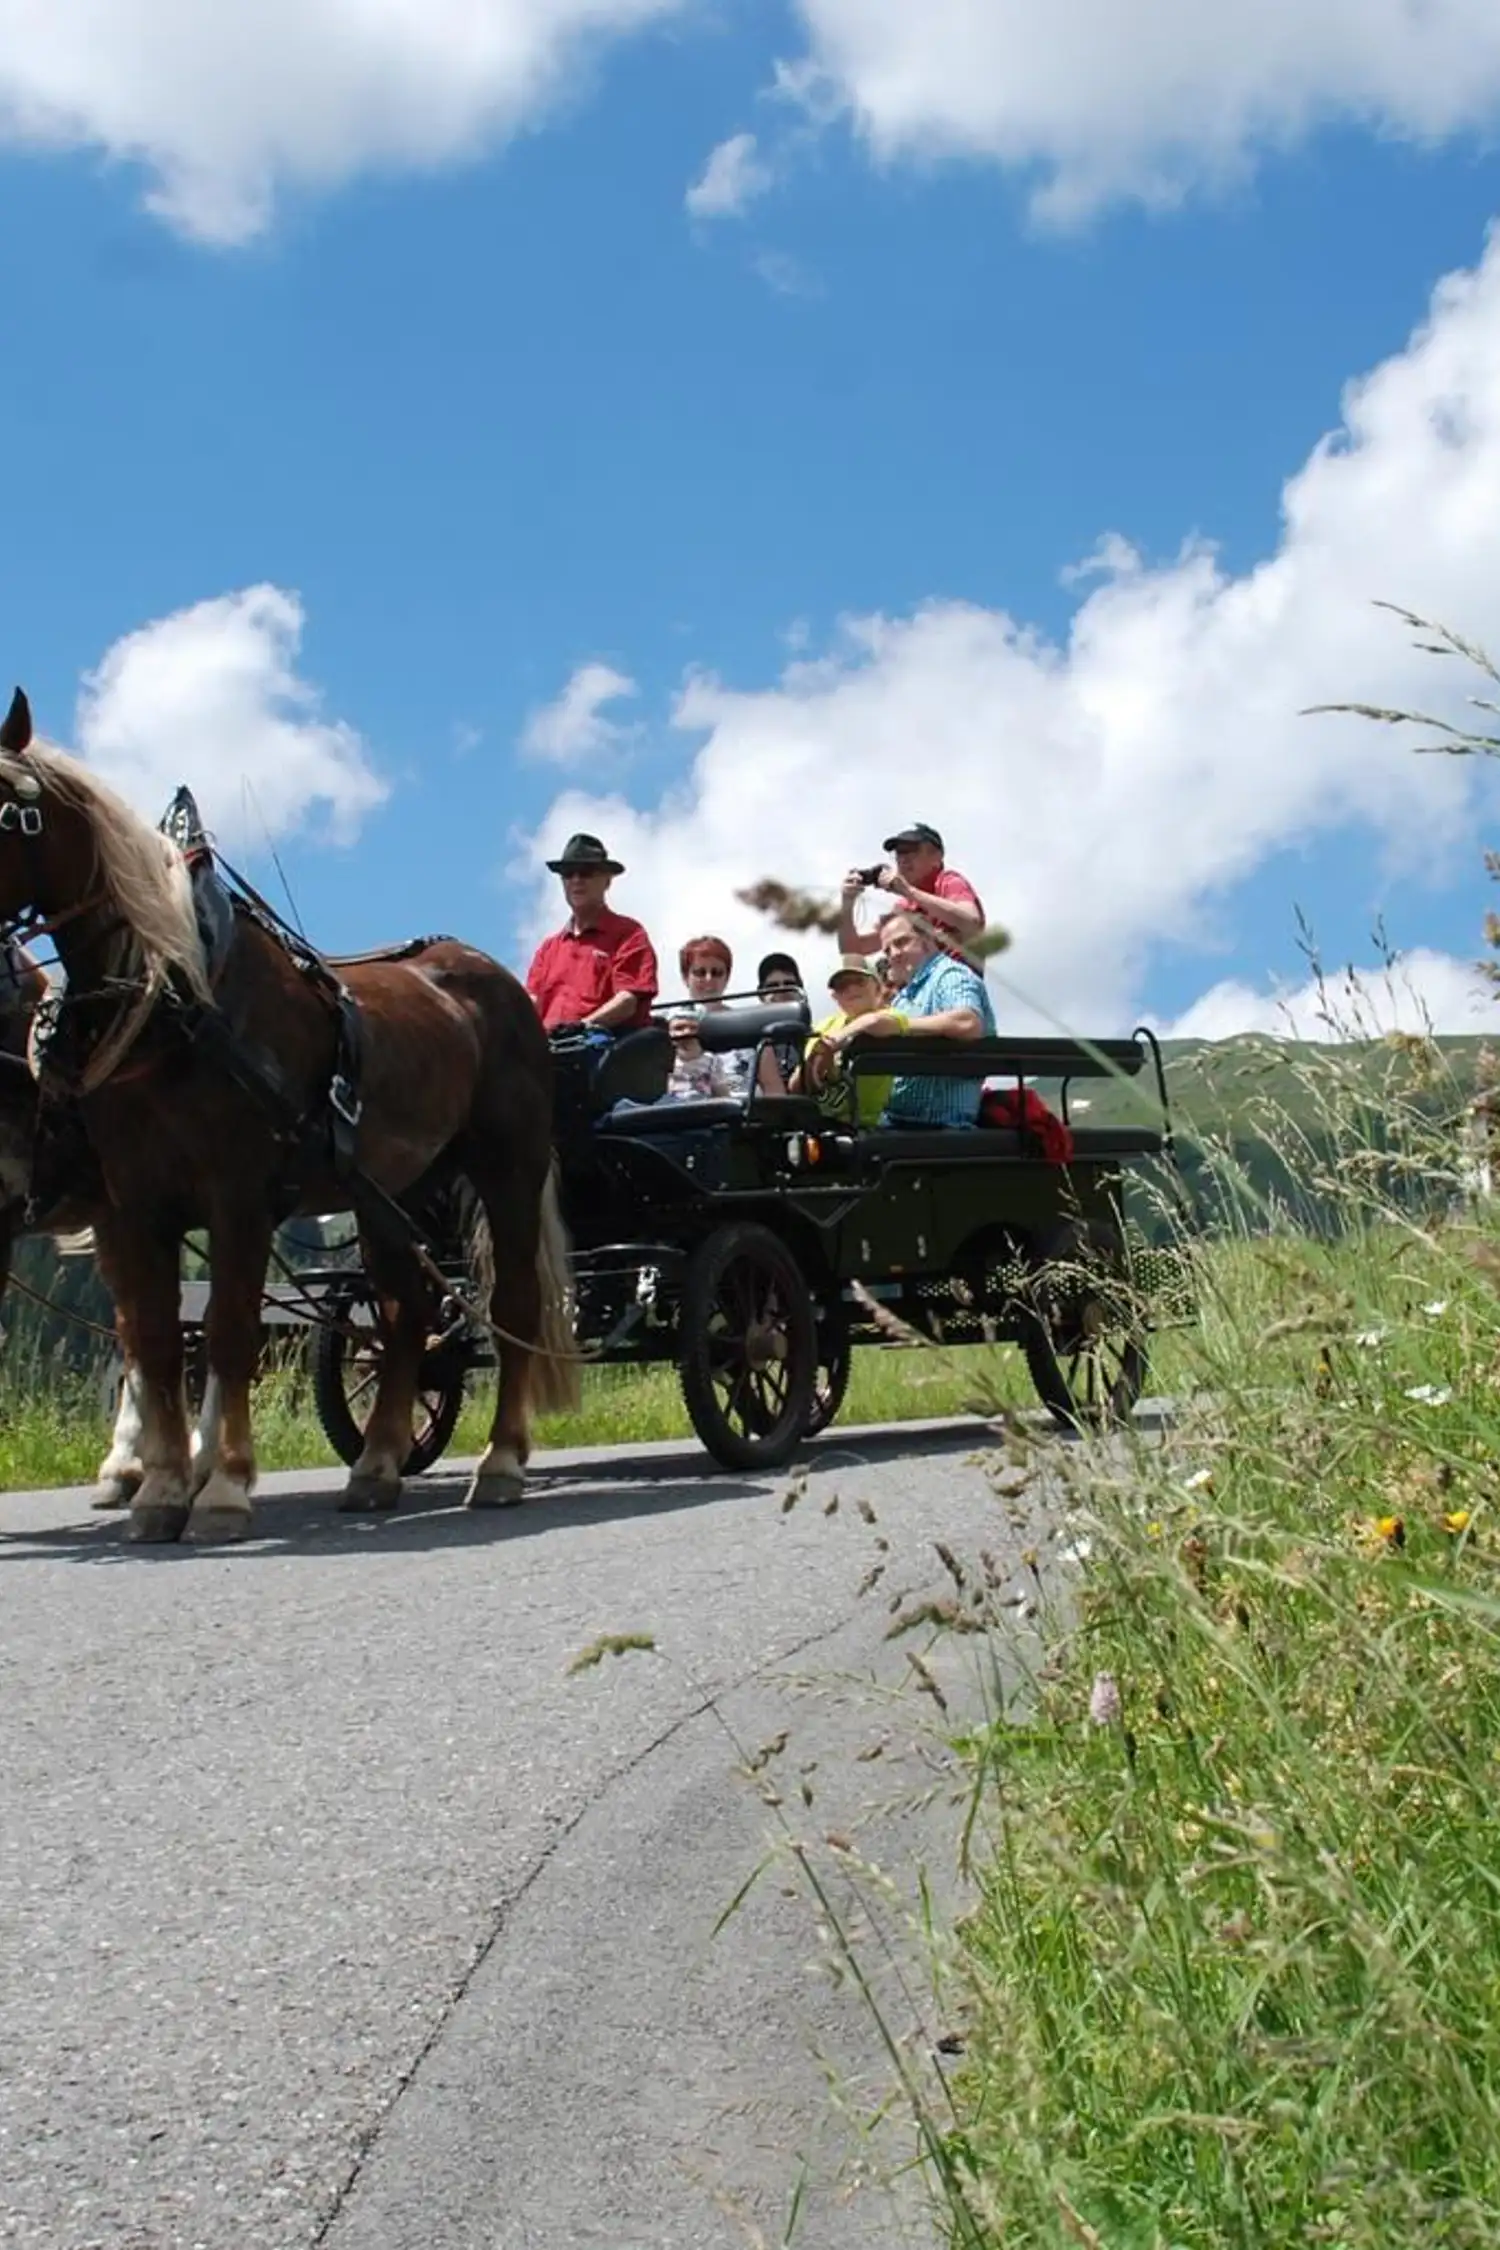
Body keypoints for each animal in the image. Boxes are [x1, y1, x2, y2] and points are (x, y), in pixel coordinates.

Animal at [0, 688, 575, 1542]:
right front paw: (163, 1488)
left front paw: (221, 1487)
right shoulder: (134, 1204)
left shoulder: (236, 1195)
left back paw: (501, 1462)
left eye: (11, 814)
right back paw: (375, 1467)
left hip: (507, 1164)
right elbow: (159, 1340)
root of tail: (491, 977)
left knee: (513, 1306)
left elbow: (229, 1333)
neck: (177, 1001)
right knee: (403, 1312)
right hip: (398, 1191)